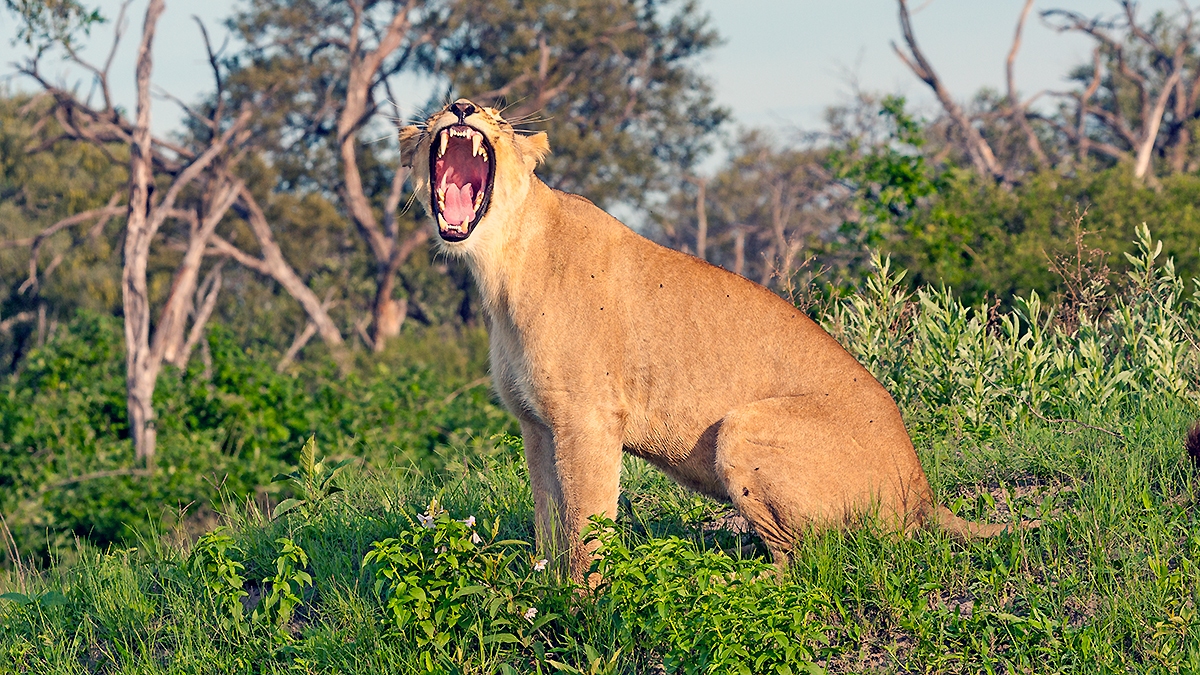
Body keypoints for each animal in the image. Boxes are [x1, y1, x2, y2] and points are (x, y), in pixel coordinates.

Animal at [399, 99, 1025, 581]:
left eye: (497, 118)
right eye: (440, 108)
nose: (461, 108)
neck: (501, 262)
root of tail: (923, 491)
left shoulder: (589, 419)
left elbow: (586, 522)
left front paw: (582, 601)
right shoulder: (536, 422)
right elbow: (550, 518)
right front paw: (543, 588)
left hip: (744, 425)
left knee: (813, 559)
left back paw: (733, 575)